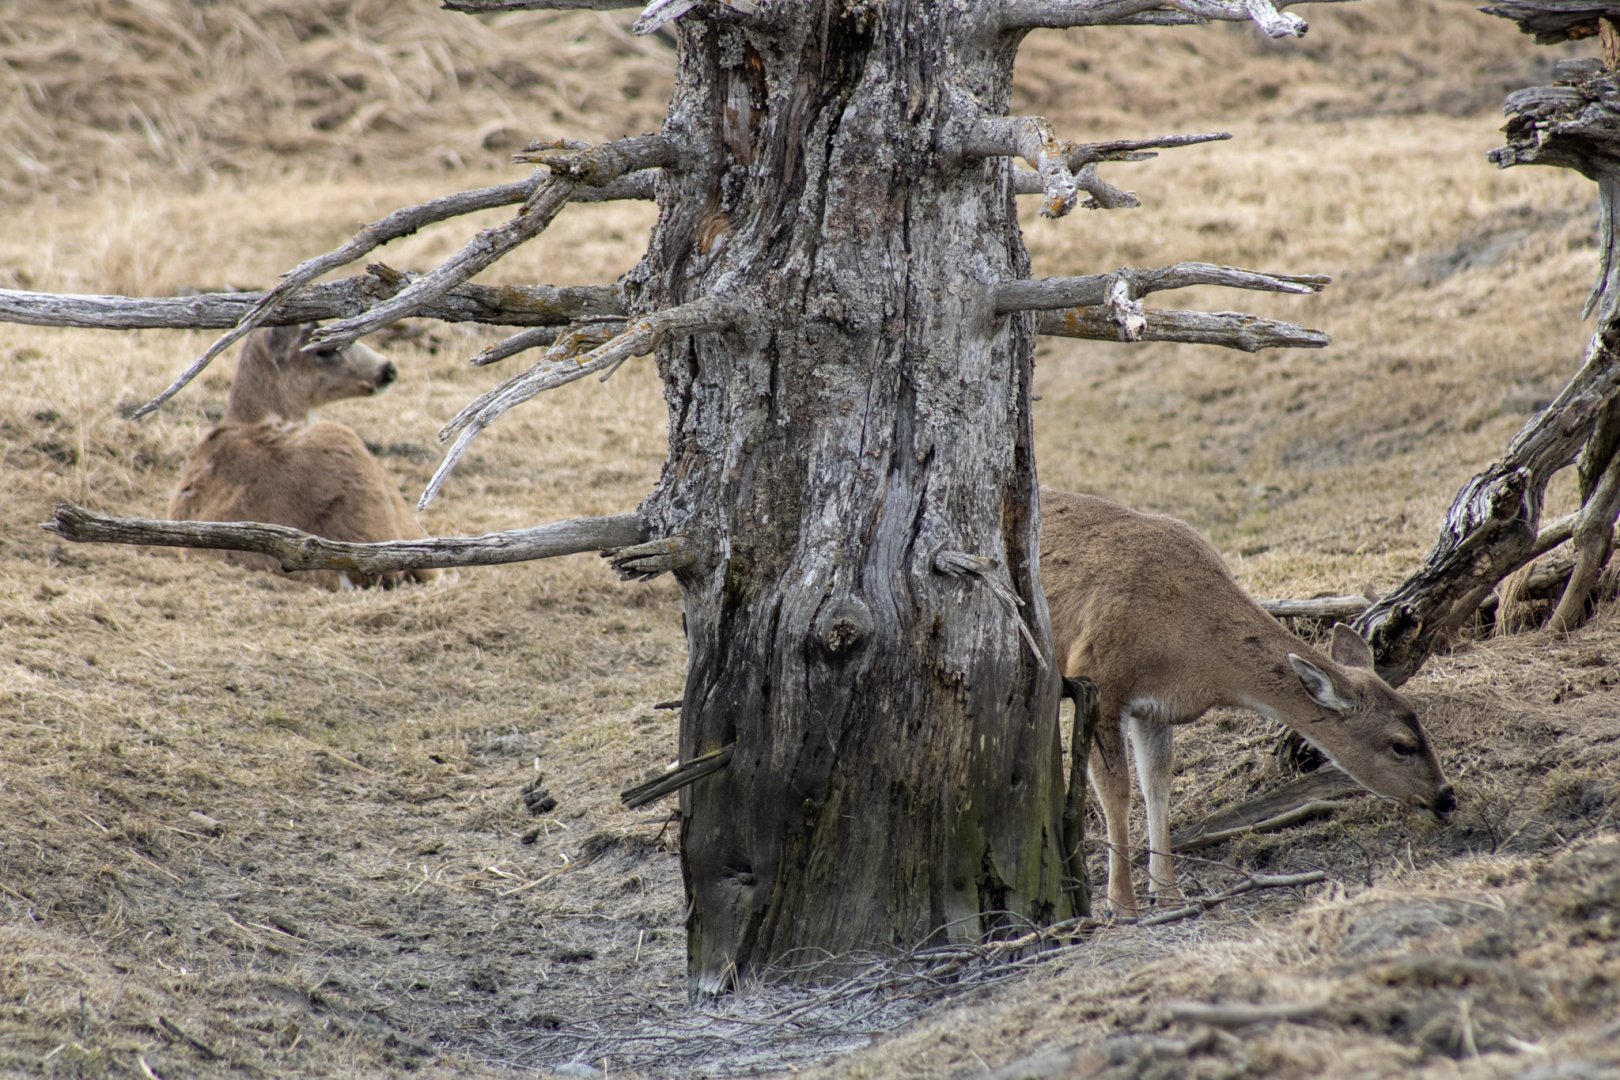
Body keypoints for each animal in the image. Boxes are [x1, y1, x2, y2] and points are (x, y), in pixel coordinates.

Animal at [1040, 488, 1454, 915]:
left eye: (1420, 722)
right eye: (1400, 744)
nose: (1445, 795)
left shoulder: (1156, 709)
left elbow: (1158, 785)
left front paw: (1169, 894)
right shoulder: (1099, 677)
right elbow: (1118, 793)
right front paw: (1122, 904)